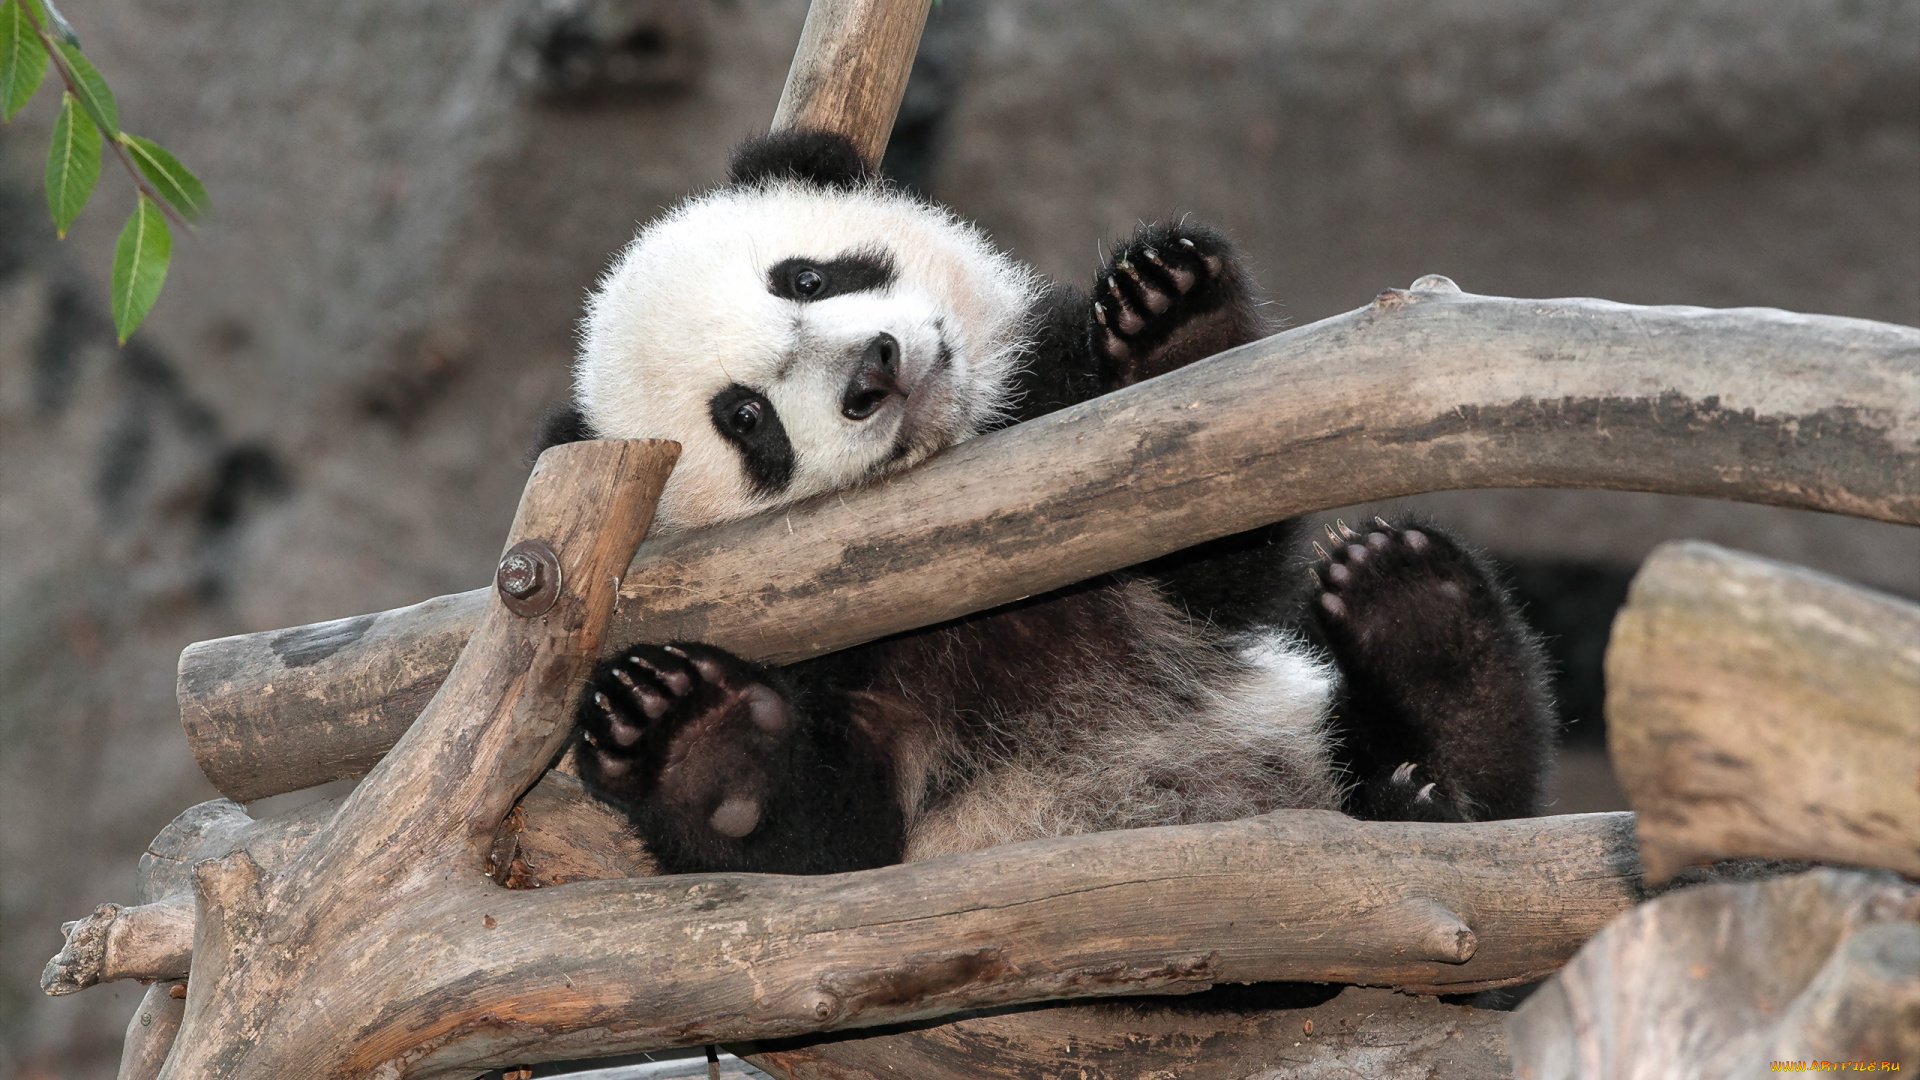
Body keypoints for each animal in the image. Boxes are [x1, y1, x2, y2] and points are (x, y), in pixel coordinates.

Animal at [537, 129, 1555, 876]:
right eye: (747, 419)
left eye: (807, 277)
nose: (874, 371)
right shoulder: (814, 635)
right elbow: (826, 841)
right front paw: (687, 731)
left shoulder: (1057, 424)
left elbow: (1212, 551)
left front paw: (1174, 326)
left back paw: (1424, 629)